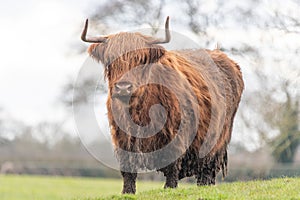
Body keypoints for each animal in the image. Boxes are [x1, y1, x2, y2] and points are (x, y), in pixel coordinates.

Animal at [81, 17, 244, 194]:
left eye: (140, 59)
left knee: (207, 169)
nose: (123, 87)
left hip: (217, 138)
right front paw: (127, 192)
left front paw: (169, 188)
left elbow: (172, 165)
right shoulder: (122, 136)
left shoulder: (176, 132)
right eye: (110, 60)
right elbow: (128, 168)